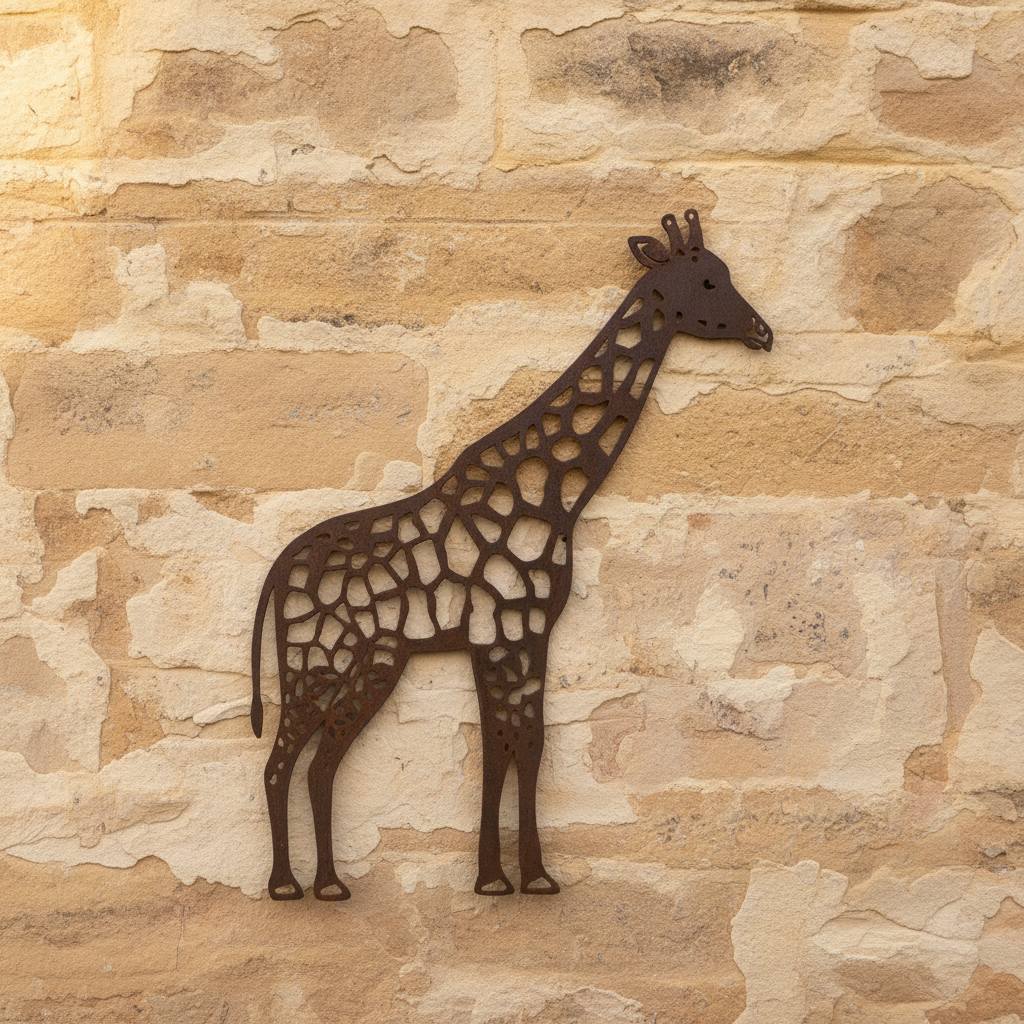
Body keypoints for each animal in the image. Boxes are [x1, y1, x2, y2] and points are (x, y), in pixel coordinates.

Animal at [251, 209, 773, 901]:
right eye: (708, 282)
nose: (764, 334)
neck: (558, 496)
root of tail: (279, 572)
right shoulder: (510, 631)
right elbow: (516, 745)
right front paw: (516, 877)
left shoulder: (512, 637)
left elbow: (515, 746)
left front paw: (512, 876)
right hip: (318, 660)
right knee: (281, 762)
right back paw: (287, 886)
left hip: (371, 662)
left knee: (320, 765)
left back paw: (331, 886)